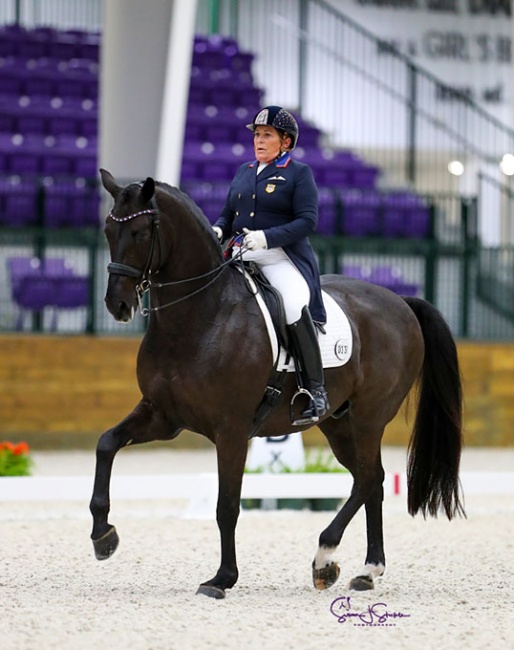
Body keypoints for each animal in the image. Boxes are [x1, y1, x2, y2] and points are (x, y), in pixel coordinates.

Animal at [90, 171, 462, 596]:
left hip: (369, 418)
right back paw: (357, 569)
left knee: (370, 478)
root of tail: (401, 302)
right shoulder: (162, 416)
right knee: (370, 481)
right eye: (108, 230)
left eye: (139, 232)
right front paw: (103, 536)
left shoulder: (231, 429)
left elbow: (226, 505)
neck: (201, 315)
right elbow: (106, 444)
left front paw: (222, 578)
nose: (117, 305)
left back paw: (333, 558)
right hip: (338, 424)